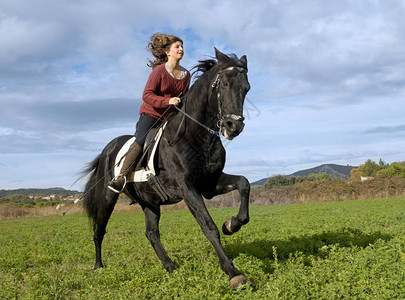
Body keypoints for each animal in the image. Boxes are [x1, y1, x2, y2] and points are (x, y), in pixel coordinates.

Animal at [81, 48, 251, 290]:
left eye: (246, 88)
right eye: (225, 84)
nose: (233, 126)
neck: (197, 136)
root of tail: (107, 149)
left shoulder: (210, 183)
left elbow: (244, 184)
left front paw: (232, 224)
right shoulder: (188, 188)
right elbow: (208, 226)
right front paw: (233, 273)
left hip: (149, 202)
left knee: (151, 233)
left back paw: (169, 265)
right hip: (107, 197)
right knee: (99, 230)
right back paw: (98, 266)